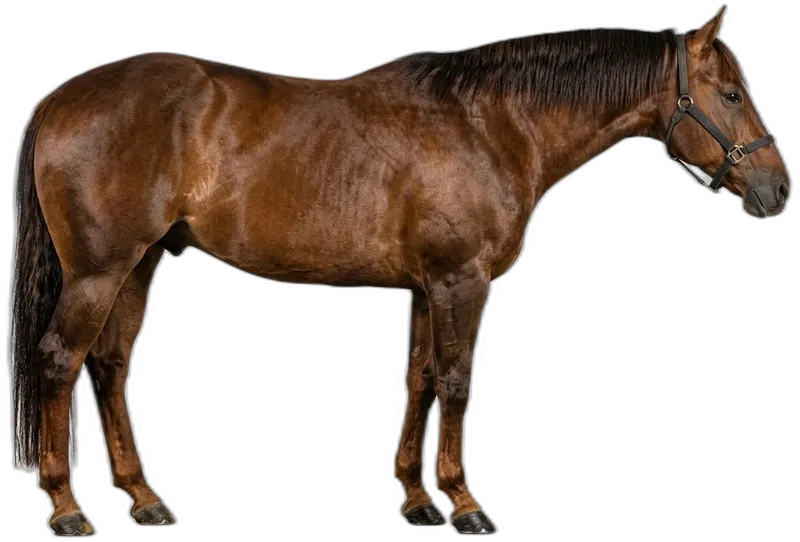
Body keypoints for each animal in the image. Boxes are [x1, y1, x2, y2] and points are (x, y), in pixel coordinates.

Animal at [8, 4, 791, 537]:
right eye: (730, 94)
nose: (778, 189)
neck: (491, 124)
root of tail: (58, 99)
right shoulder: (461, 282)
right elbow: (456, 383)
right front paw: (465, 503)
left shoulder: (423, 288)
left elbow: (418, 380)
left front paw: (417, 500)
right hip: (99, 271)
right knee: (60, 361)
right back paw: (67, 508)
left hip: (140, 265)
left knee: (109, 367)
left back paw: (145, 499)